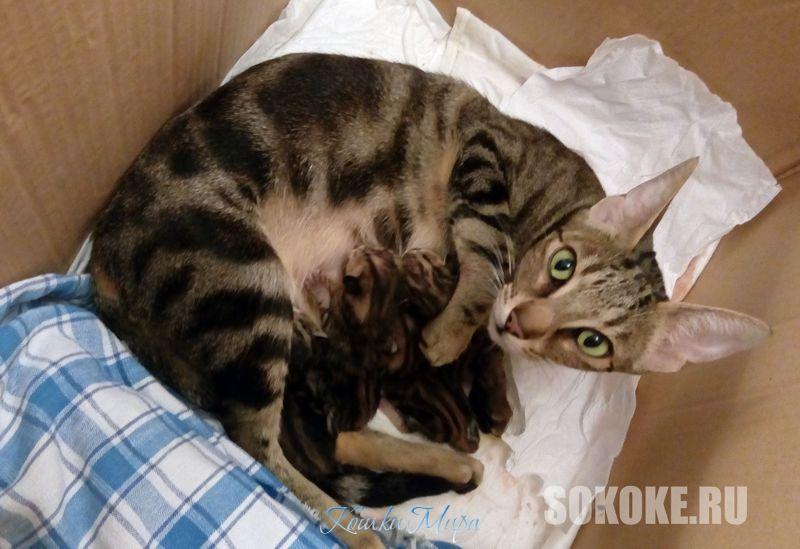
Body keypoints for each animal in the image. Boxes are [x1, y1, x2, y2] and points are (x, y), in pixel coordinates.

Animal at [89, 52, 769, 547]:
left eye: (592, 342)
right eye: (563, 265)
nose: (524, 323)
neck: (556, 197)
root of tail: (98, 262)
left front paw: (499, 392)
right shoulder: (485, 155)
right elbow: (483, 261)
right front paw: (453, 336)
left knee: (332, 437)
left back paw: (451, 464)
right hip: (245, 283)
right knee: (260, 444)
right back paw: (359, 532)